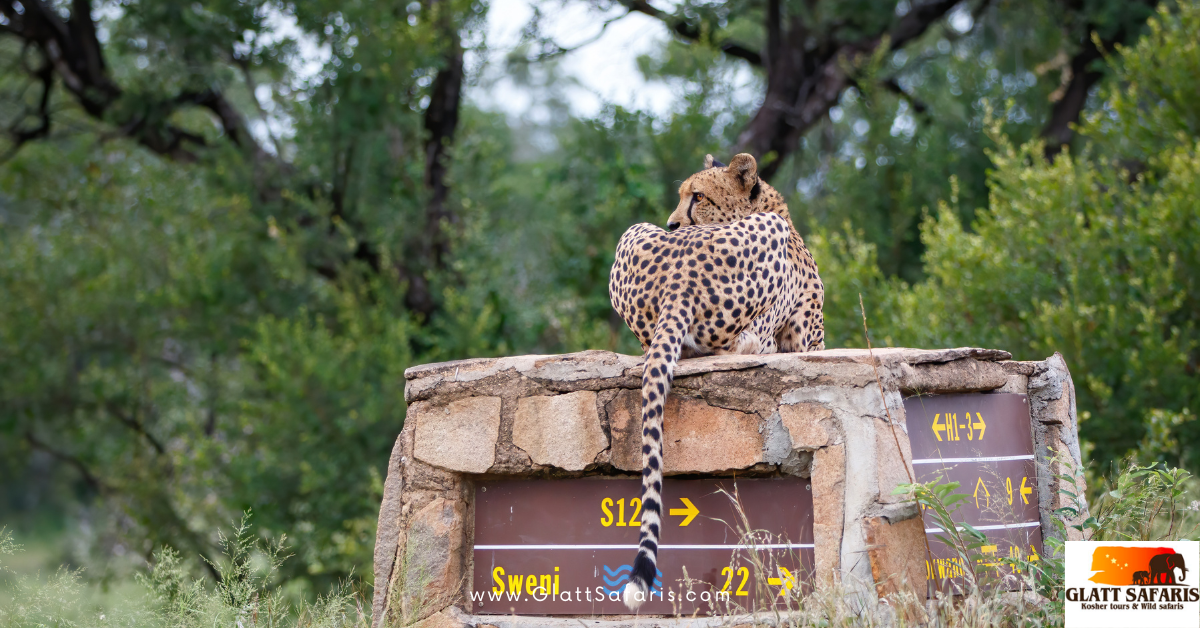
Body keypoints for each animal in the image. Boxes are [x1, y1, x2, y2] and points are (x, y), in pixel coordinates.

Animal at [609, 152, 825, 609]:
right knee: (747, 344)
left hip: (632, 232)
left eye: (698, 196)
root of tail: (679, 278)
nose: (672, 224)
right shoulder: (811, 338)